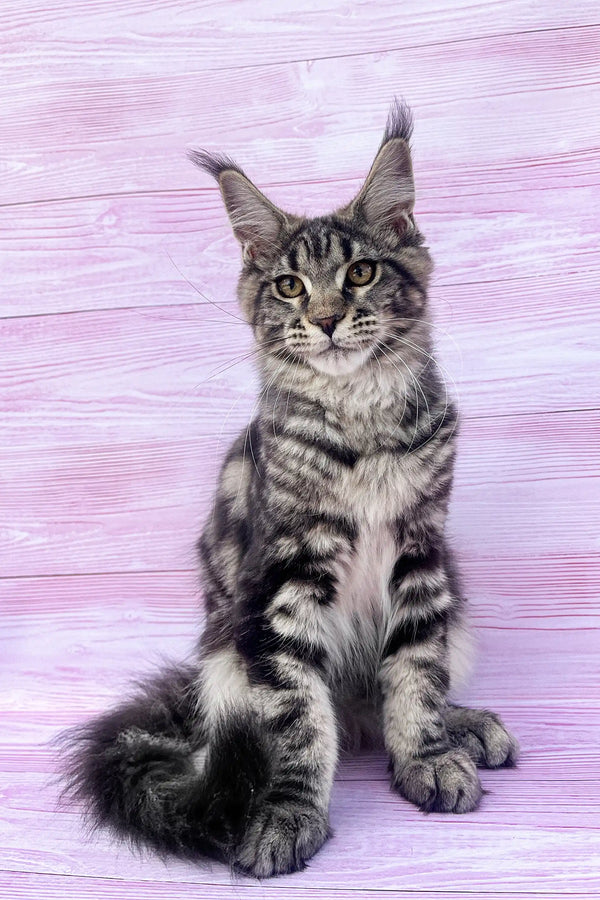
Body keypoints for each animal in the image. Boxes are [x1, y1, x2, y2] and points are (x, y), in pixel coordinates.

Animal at [59, 100, 516, 880]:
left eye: (360, 272)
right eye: (289, 287)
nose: (327, 319)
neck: (362, 423)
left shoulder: (420, 556)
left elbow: (416, 675)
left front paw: (428, 757)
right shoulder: (284, 580)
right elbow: (298, 722)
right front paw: (289, 812)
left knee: (389, 698)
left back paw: (466, 728)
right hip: (226, 654)